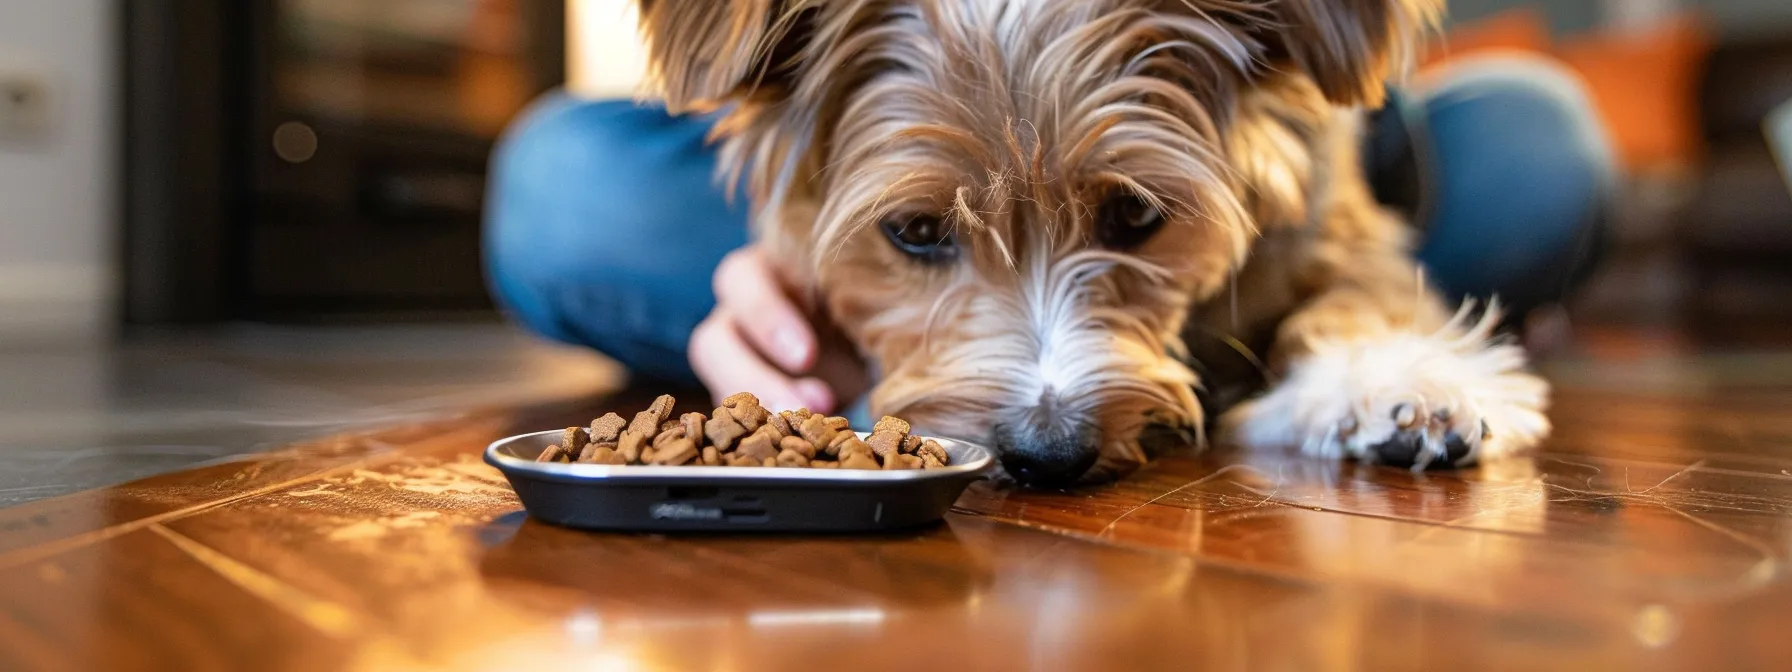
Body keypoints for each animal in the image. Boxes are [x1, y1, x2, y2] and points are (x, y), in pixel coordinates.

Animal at [637, 0, 1548, 483]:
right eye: (916, 232)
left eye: (1136, 216)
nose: (1049, 455)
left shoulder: (1344, 226)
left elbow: (1356, 300)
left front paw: (1393, 383)